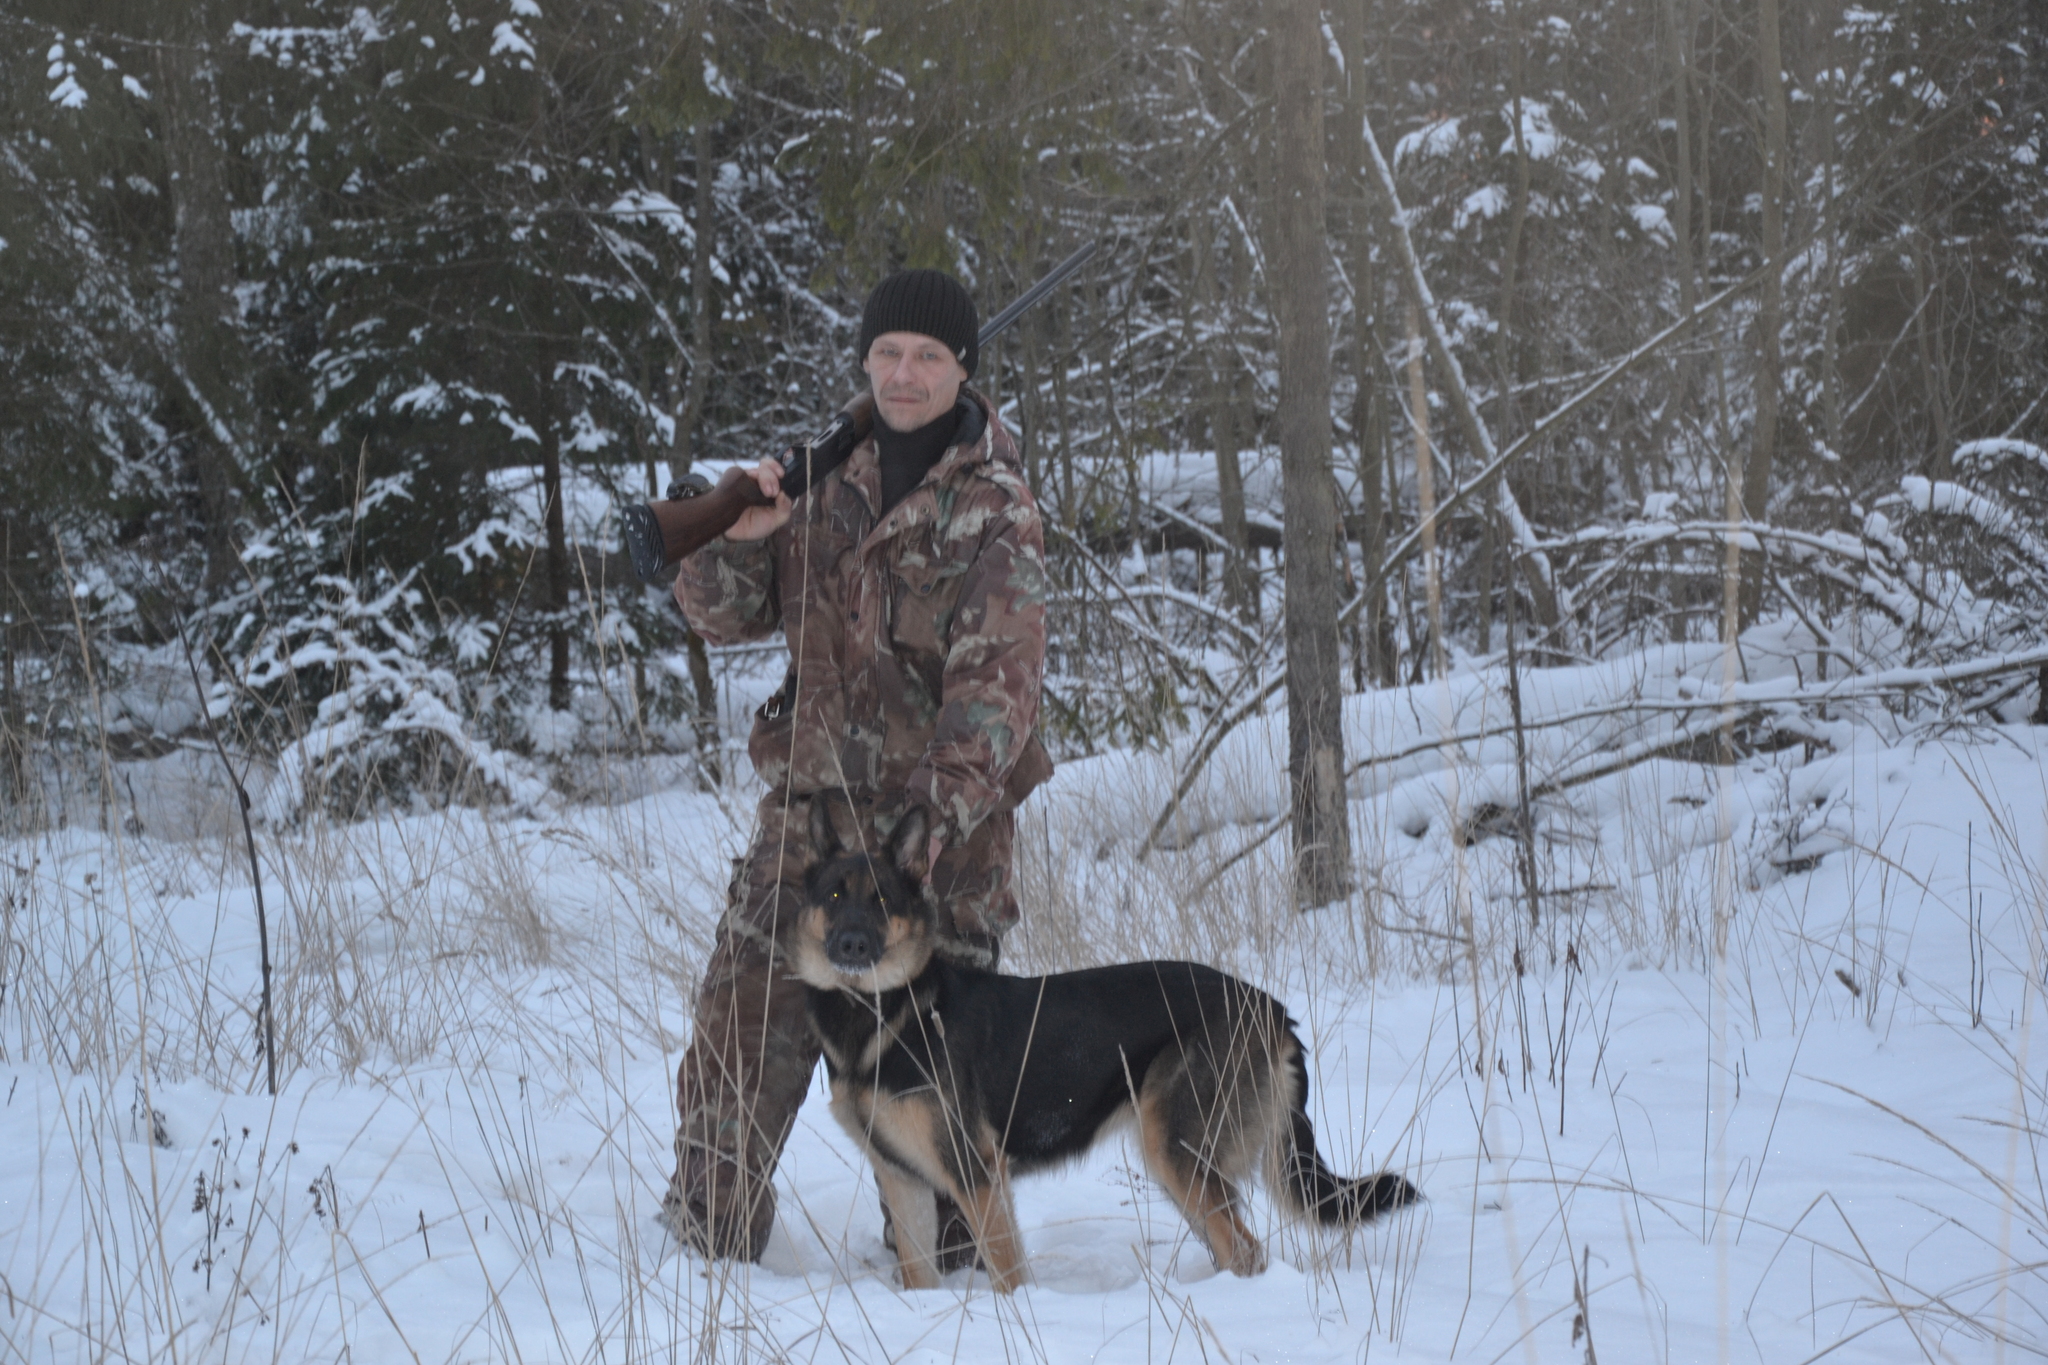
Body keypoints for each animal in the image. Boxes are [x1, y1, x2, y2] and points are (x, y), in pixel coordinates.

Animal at [790, 806, 1417, 1301]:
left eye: (882, 901)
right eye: (835, 896)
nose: (852, 945)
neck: (884, 1012)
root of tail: (1272, 1008)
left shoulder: (976, 1175)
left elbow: (1008, 1271)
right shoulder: (904, 1182)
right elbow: (919, 1276)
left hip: (1174, 1150)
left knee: (1246, 1252)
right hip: (1182, 1164)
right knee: (1235, 1249)